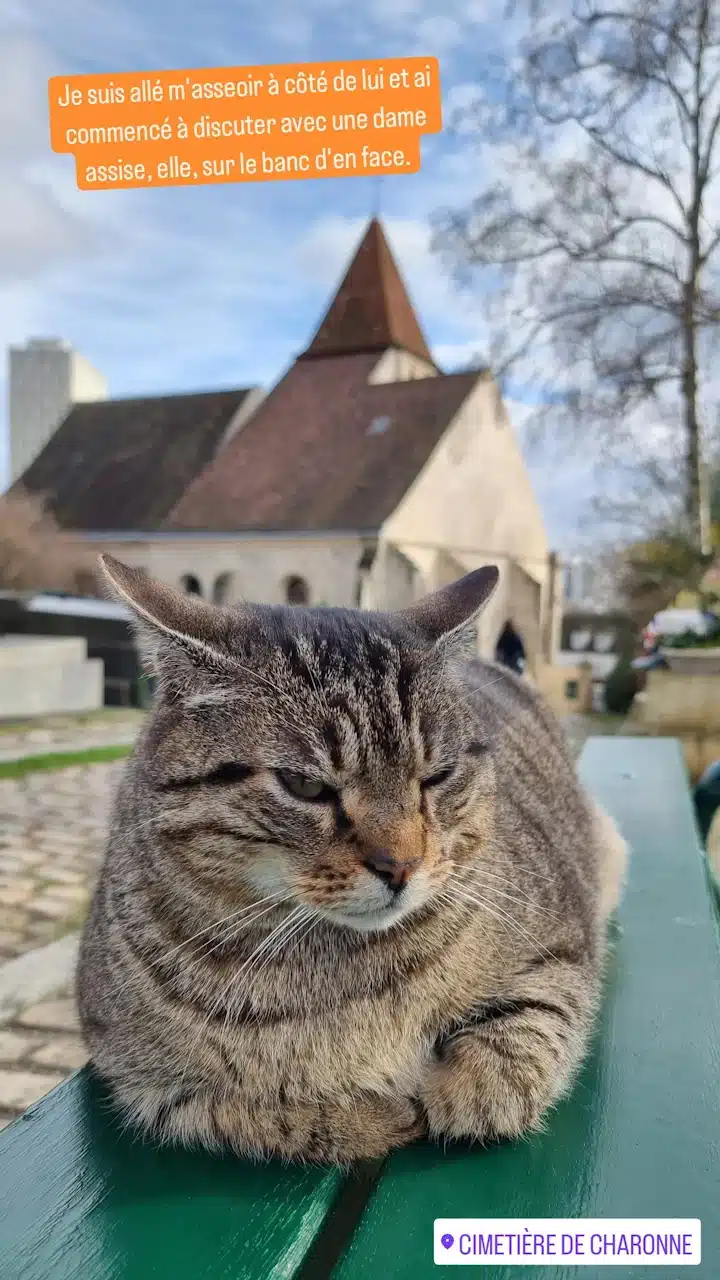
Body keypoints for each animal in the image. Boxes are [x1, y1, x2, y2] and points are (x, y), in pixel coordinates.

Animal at [78, 555, 625, 1167]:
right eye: (304, 785)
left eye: (436, 777)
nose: (401, 865)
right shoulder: (138, 1078)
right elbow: (257, 1114)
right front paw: (373, 1116)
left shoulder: (563, 948)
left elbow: (528, 1036)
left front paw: (458, 1093)